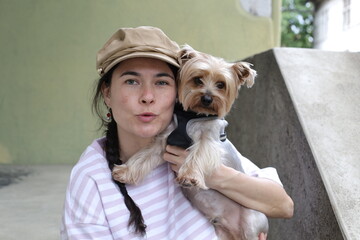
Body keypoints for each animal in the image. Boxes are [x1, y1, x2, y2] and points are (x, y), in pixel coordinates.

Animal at [112, 45, 268, 240]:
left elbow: (198, 154)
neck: (193, 115)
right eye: (198, 80)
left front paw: (189, 177)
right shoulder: (166, 139)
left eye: (221, 85)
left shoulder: (208, 139)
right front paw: (124, 171)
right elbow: (145, 155)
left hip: (251, 222)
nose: (207, 99)